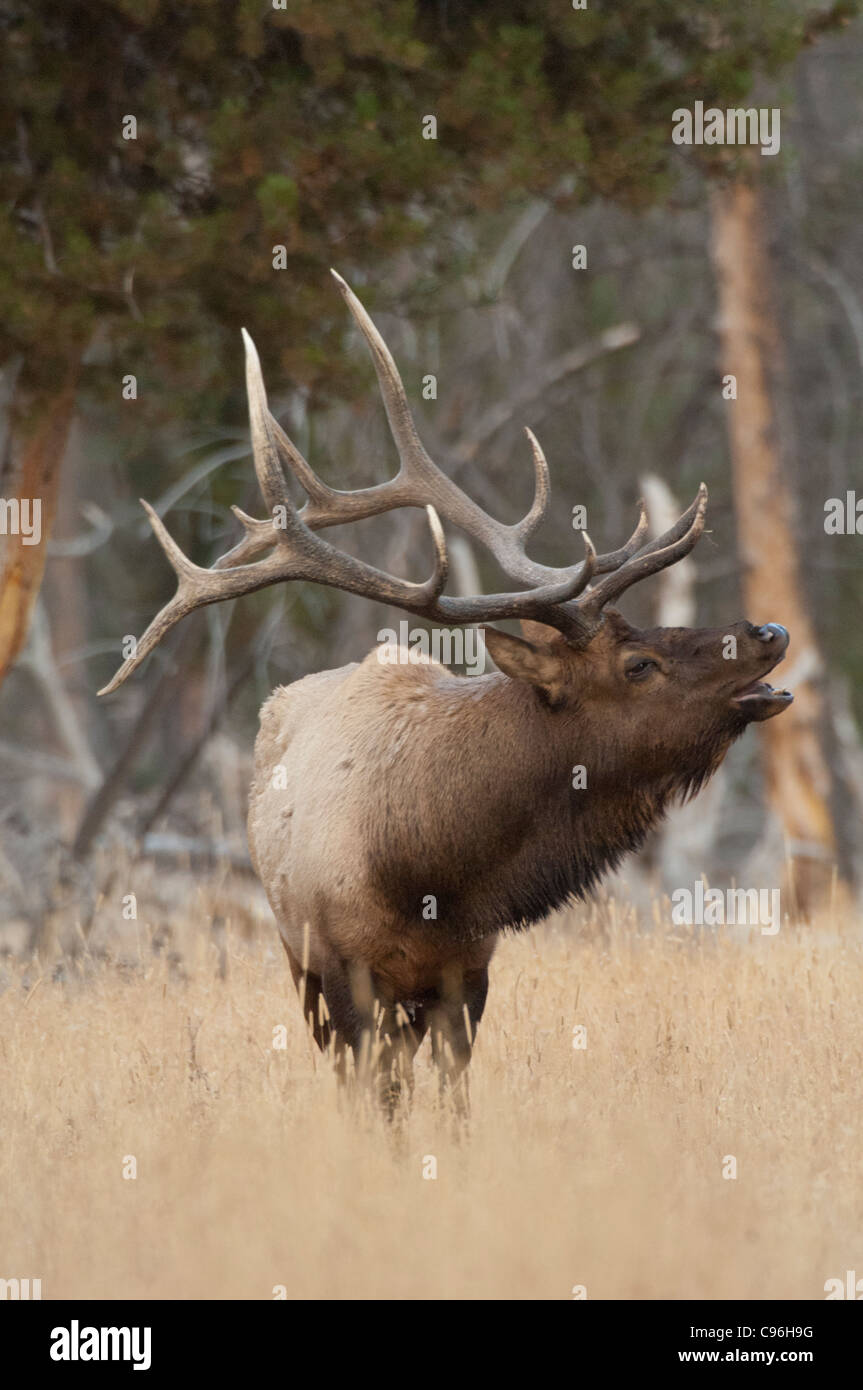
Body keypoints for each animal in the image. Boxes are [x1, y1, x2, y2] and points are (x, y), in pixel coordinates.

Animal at [97, 276, 789, 1112]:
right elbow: (379, 1101)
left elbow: (453, 1101)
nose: (768, 631)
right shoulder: (342, 972)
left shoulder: (468, 972)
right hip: (297, 959)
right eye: (637, 664)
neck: (429, 870)